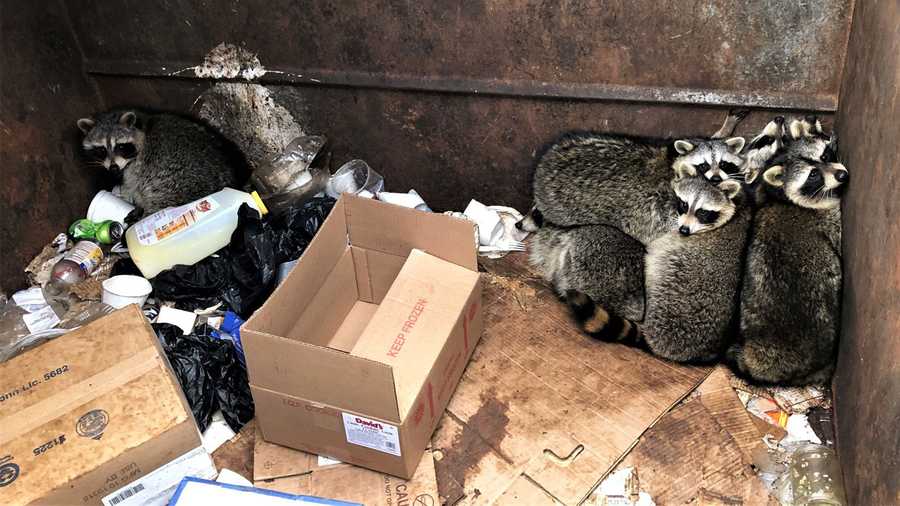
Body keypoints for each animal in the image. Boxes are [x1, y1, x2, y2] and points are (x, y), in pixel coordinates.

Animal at [77, 109, 246, 215]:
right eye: (101, 150)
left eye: (121, 147)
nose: (113, 168)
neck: (143, 127)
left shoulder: (138, 168)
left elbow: (134, 185)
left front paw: (133, 198)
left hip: (173, 182)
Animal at [728, 137, 847, 385]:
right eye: (813, 175)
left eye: (824, 156)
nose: (842, 175)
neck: (783, 198)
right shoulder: (828, 216)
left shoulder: (761, 192)